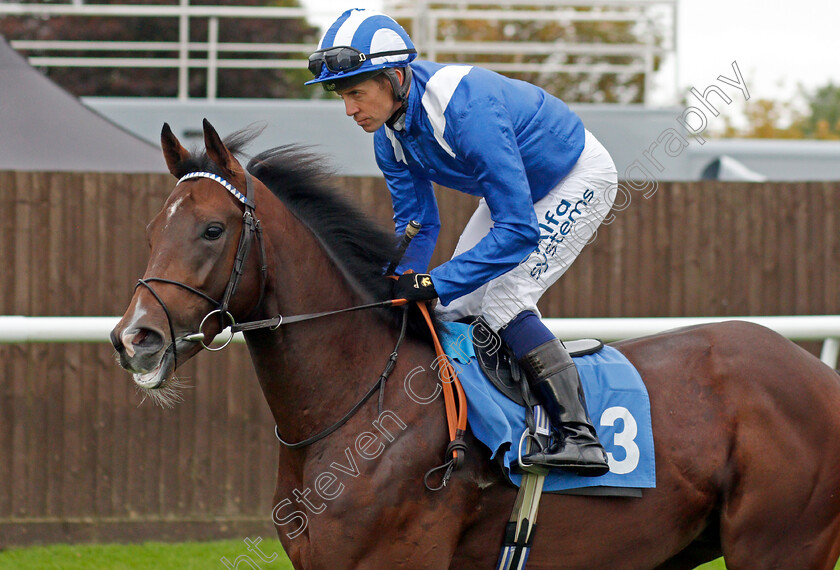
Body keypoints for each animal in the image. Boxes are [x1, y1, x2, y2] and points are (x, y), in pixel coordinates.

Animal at [111, 121, 840, 568]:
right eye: (149, 230)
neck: (358, 402)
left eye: (211, 230)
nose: (134, 338)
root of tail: (818, 376)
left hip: (780, 545)